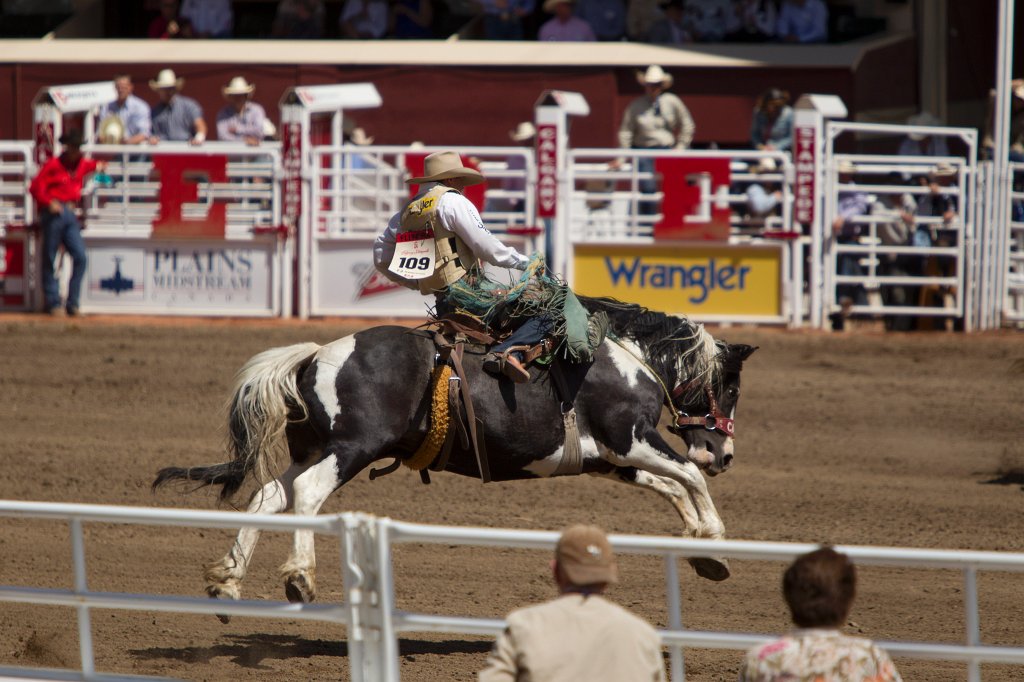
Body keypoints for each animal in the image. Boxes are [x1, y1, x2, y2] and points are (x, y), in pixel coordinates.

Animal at [155, 301, 757, 606]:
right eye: (729, 386)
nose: (725, 453)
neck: (627, 360)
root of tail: (317, 354)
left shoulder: (608, 459)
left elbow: (672, 485)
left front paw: (700, 547)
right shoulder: (631, 437)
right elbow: (688, 476)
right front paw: (714, 543)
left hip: (314, 447)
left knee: (268, 495)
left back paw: (228, 577)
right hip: (351, 448)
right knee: (306, 491)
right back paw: (299, 576)